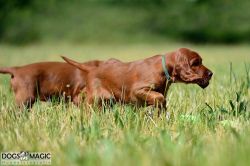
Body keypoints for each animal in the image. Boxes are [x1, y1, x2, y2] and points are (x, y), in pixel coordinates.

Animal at [63, 47, 213, 108]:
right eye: (196, 63)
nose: (211, 73)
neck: (164, 68)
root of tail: (92, 69)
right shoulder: (138, 90)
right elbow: (160, 98)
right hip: (94, 98)